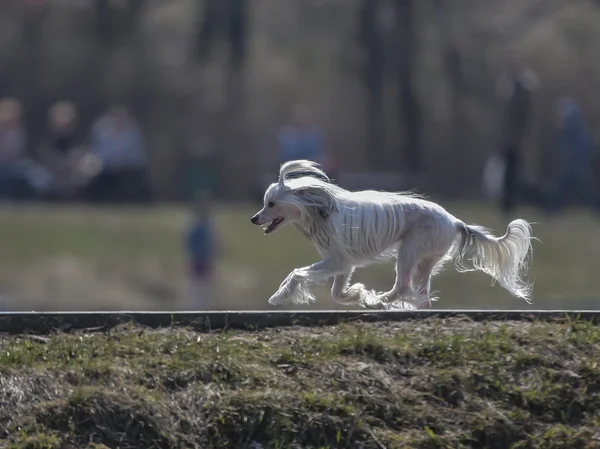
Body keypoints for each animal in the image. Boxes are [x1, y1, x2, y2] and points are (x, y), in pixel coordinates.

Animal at [250, 159, 536, 310]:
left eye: (271, 204)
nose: (254, 219)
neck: (319, 208)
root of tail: (455, 221)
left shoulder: (336, 261)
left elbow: (298, 274)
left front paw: (281, 295)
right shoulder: (343, 264)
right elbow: (336, 293)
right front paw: (356, 293)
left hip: (409, 251)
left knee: (403, 287)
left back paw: (378, 301)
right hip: (424, 261)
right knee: (419, 292)